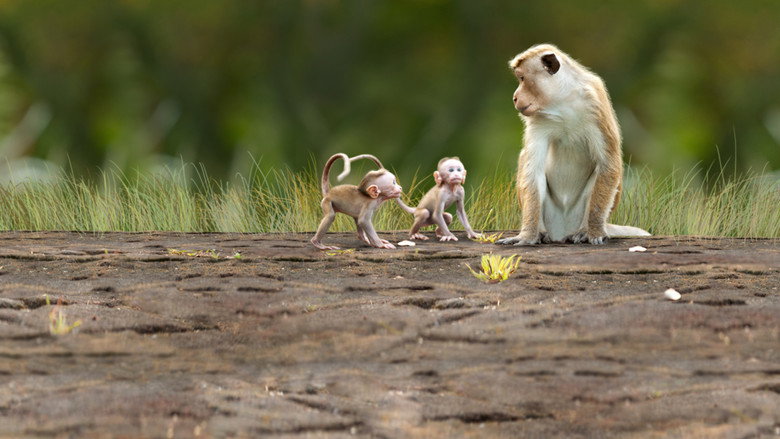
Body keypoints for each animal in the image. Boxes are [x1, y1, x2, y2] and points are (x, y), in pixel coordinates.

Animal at [496, 44, 650, 246]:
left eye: (522, 78)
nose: (515, 97)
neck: (562, 102)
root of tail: (561, 231)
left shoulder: (595, 103)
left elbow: (608, 164)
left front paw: (594, 231)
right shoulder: (538, 120)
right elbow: (533, 170)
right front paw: (527, 236)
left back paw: (584, 231)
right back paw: (541, 232)